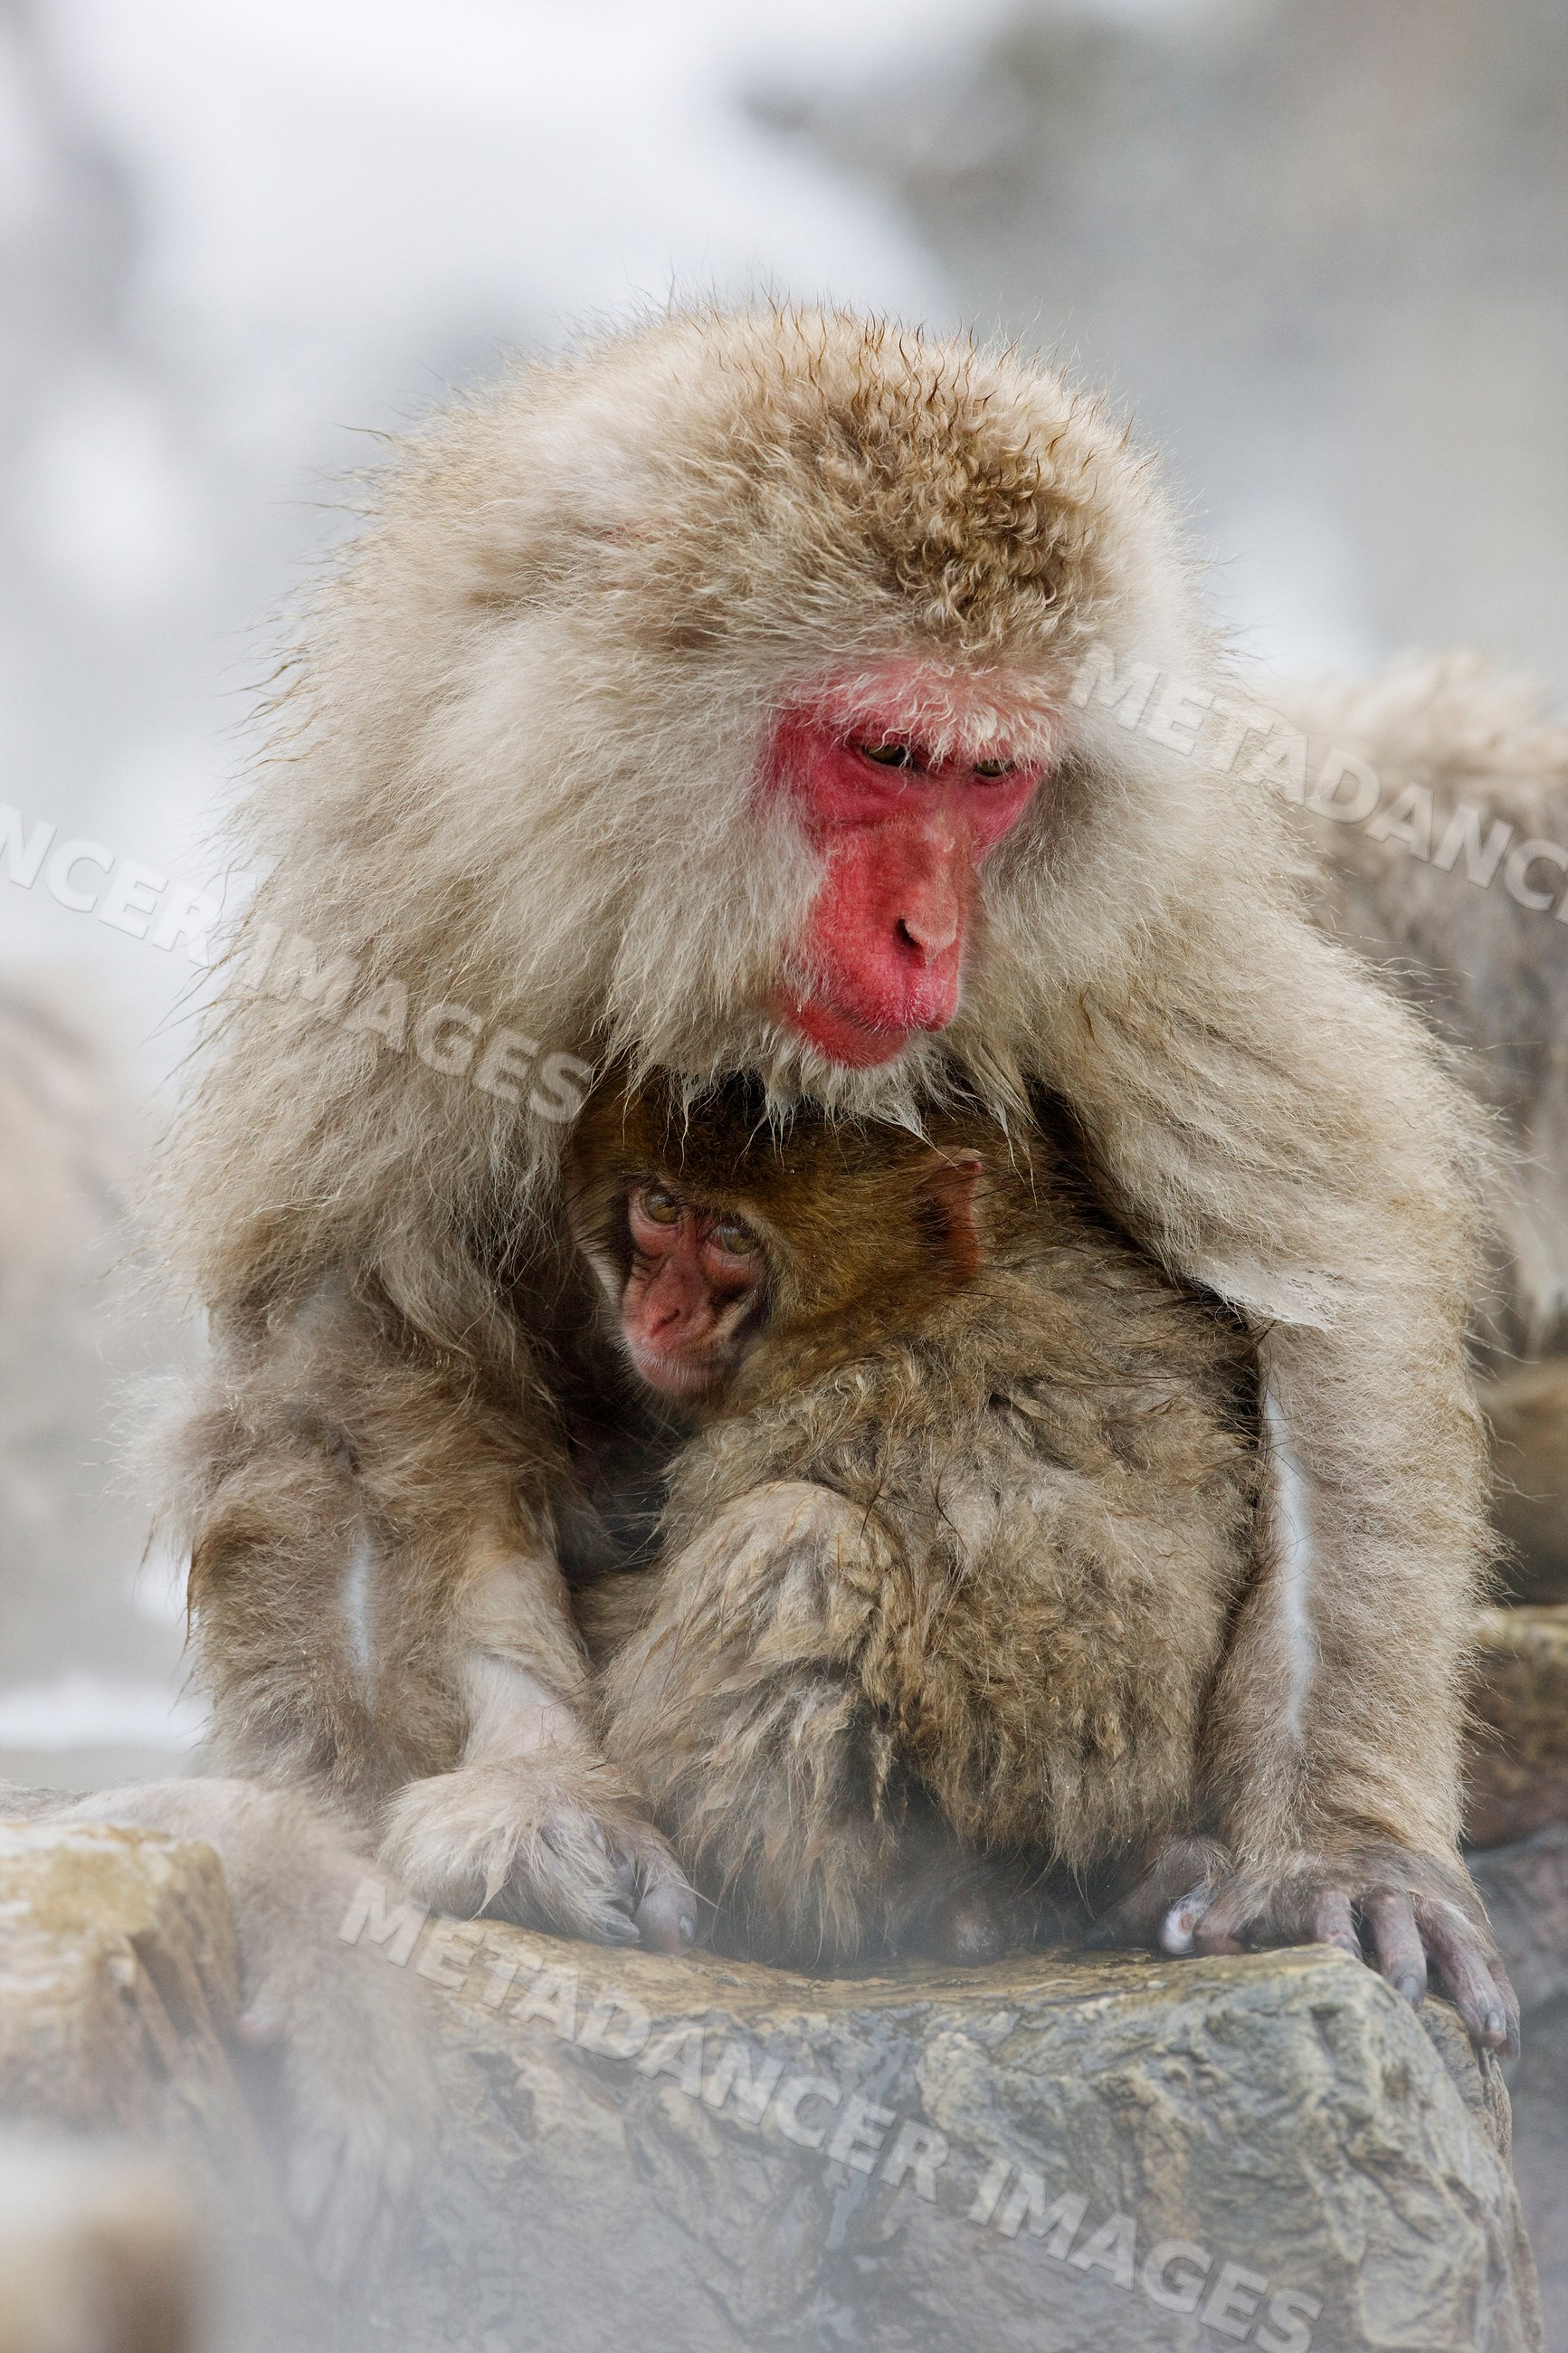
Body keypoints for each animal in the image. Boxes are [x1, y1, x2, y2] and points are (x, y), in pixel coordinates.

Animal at [161, 305, 1512, 2042]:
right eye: (886, 752)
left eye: (992, 780)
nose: (928, 935)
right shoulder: (419, 906)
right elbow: (363, 1326)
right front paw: (537, 1789)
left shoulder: (1114, 935)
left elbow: (1322, 1274)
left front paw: (1341, 1845)